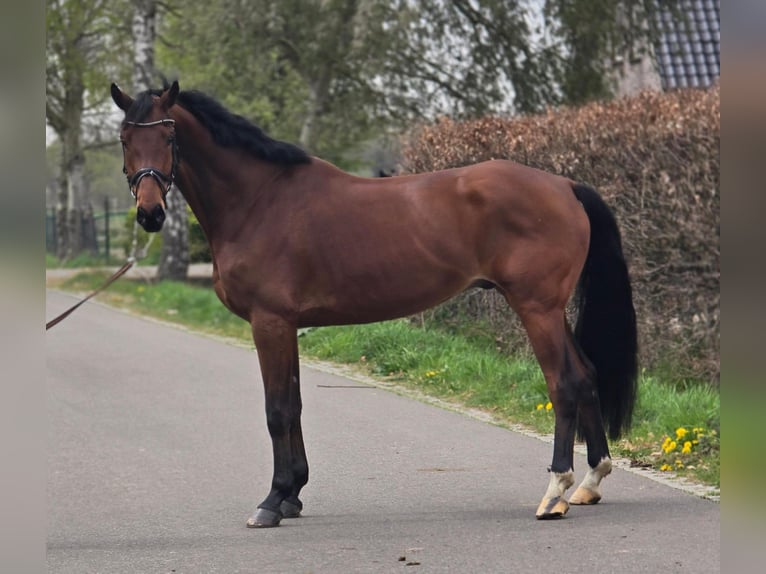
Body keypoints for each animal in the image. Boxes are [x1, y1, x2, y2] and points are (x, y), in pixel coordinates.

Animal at [111, 80, 637, 528]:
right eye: (124, 139)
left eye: (169, 136)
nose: (150, 213)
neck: (258, 201)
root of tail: (565, 186)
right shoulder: (288, 325)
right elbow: (294, 404)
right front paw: (292, 494)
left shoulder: (270, 322)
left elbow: (277, 408)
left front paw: (272, 502)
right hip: (551, 309)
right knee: (585, 377)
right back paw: (589, 482)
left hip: (537, 308)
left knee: (563, 384)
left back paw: (554, 493)